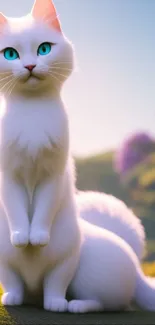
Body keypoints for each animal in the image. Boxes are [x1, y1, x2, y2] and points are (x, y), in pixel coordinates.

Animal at [0, 0, 81, 312]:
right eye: (10, 54)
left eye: (44, 48)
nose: (30, 65)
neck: (32, 109)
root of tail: (33, 290)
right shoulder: (7, 175)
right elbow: (16, 208)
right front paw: (23, 237)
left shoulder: (53, 174)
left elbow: (44, 207)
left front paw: (37, 237)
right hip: (4, 263)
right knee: (13, 282)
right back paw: (12, 299)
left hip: (68, 257)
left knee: (54, 284)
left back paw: (56, 304)